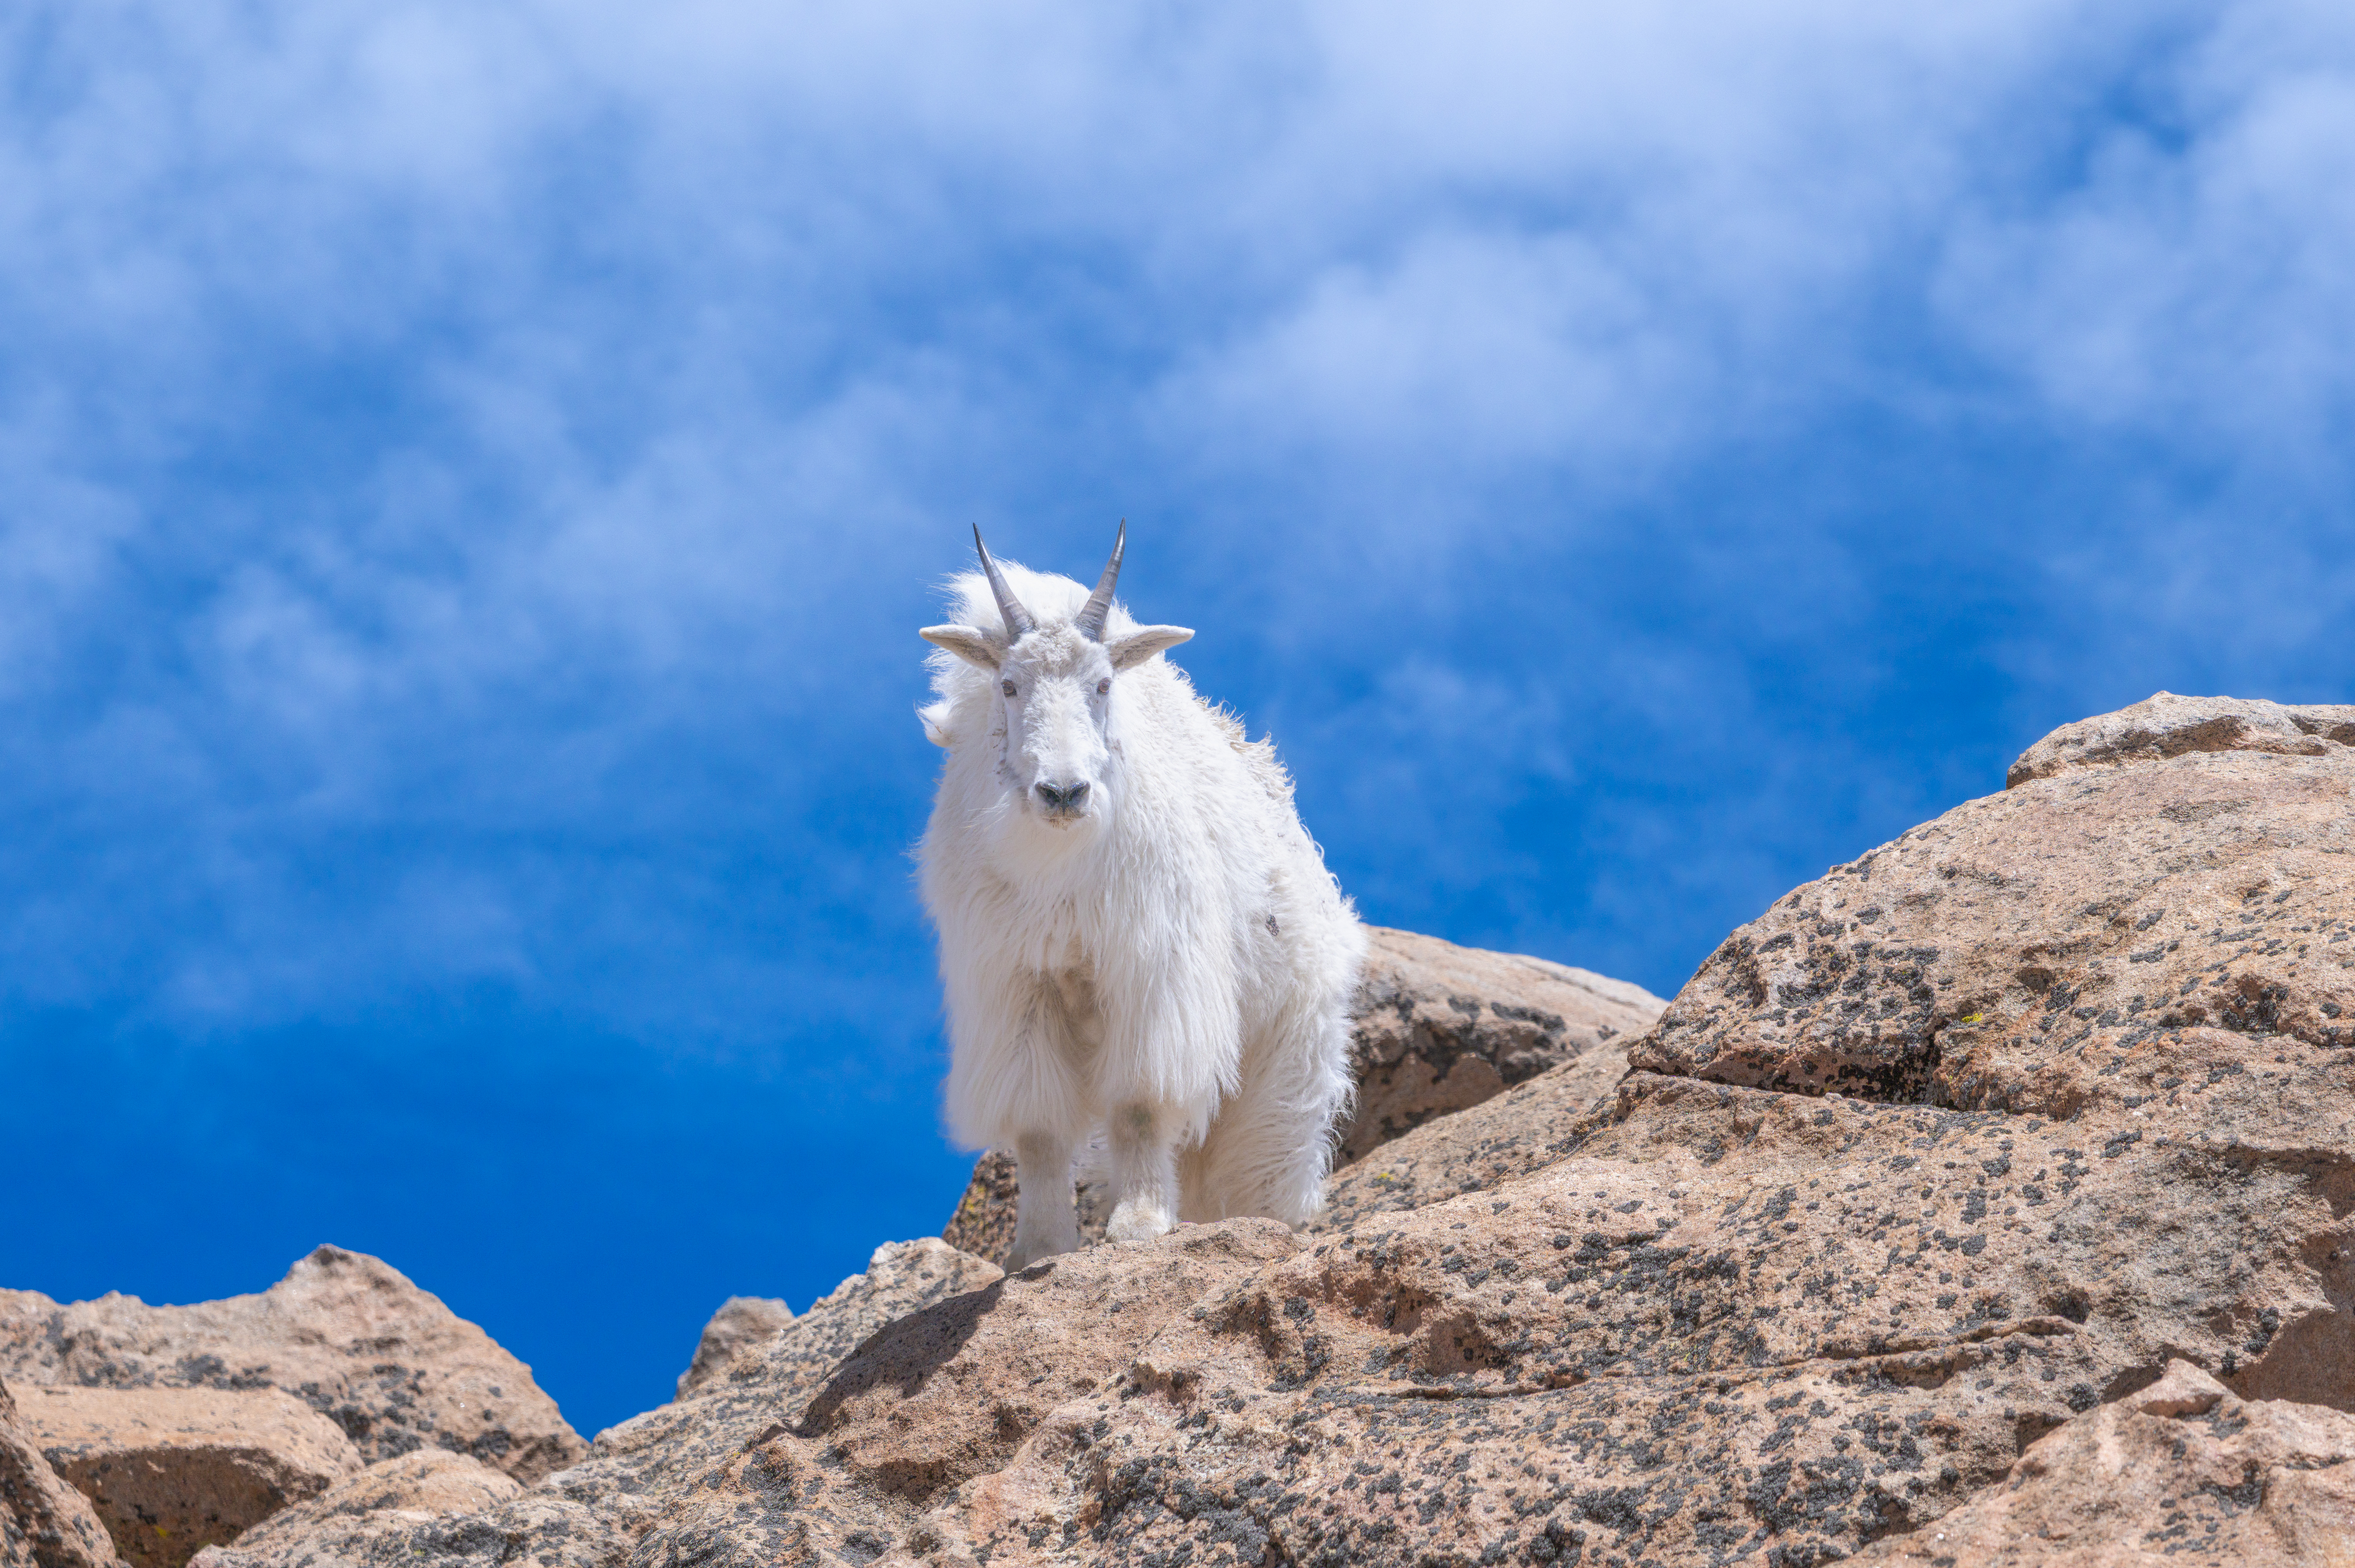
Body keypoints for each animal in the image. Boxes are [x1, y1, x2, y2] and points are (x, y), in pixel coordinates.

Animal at [917, 525, 1365, 1269]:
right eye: (1009, 684)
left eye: (1102, 683)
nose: (1063, 793)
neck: (1060, 865)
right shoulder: (1016, 984)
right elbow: (1039, 1129)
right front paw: (1036, 1251)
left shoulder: (1152, 973)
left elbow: (1138, 1105)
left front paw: (1139, 1226)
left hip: (1286, 1049)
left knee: (1257, 1159)